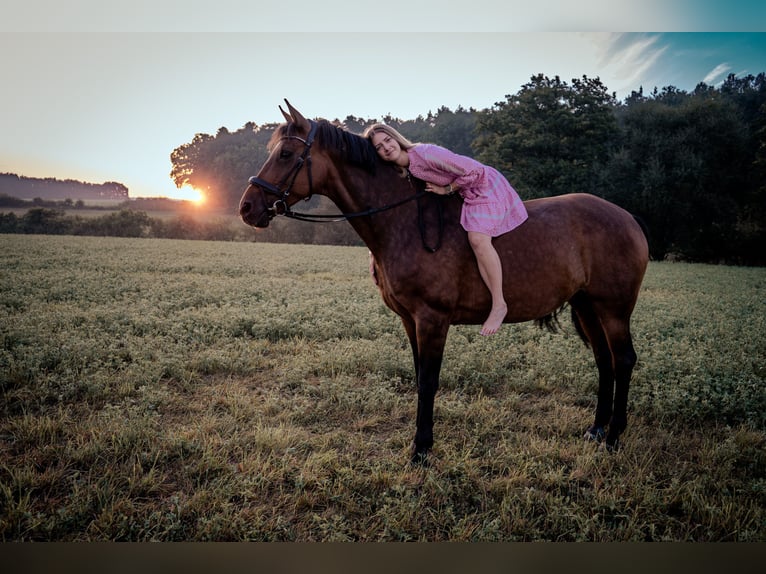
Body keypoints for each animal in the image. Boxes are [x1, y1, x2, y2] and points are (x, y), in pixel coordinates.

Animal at [240, 101, 648, 466]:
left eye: (287, 154)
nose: (247, 207)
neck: (403, 222)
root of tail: (628, 218)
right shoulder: (409, 319)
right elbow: (420, 375)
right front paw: (424, 442)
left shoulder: (432, 319)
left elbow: (429, 381)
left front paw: (420, 450)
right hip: (587, 306)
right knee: (605, 361)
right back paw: (597, 429)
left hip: (613, 310)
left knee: (624, 360)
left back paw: (614, 436)